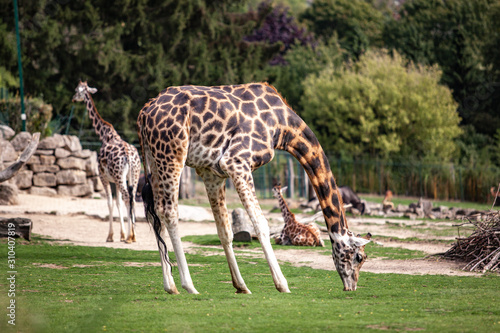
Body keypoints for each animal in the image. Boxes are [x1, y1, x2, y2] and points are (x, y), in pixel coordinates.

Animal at [72, 79, 140, 243]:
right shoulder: (115, 179)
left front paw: (111, 236)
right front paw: (122, 235)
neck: (104, 135)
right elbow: (118, 202)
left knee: (128, 198)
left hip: (119, 176)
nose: (73, 99)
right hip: (134, 175)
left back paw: (130, 237)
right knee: (132, 199)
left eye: (77, 90)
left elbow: (110, 203)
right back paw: (133, 236)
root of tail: (129, 156)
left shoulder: (104, 177)